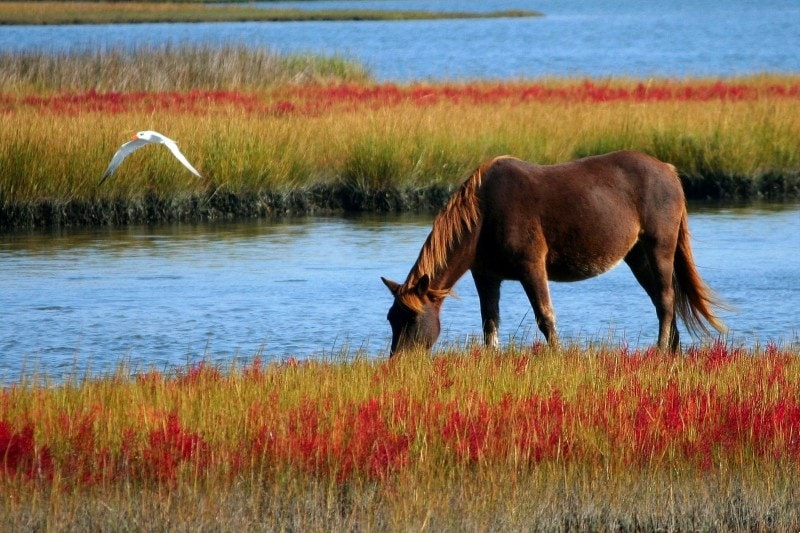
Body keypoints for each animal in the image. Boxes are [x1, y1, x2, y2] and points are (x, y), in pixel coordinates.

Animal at [381, 150, 726, 356]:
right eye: (391, 318)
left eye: (412, 319)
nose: (399, 362)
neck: (484, 213)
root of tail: (669, 171)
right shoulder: (486, 275)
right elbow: (490, 322)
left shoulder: (531, 267)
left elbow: (545, 317)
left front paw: (556, 356)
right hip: (637, 256)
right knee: (661, 300)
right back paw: (672, 350)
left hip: (659, 247)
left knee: (666, 300)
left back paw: (660, 350)